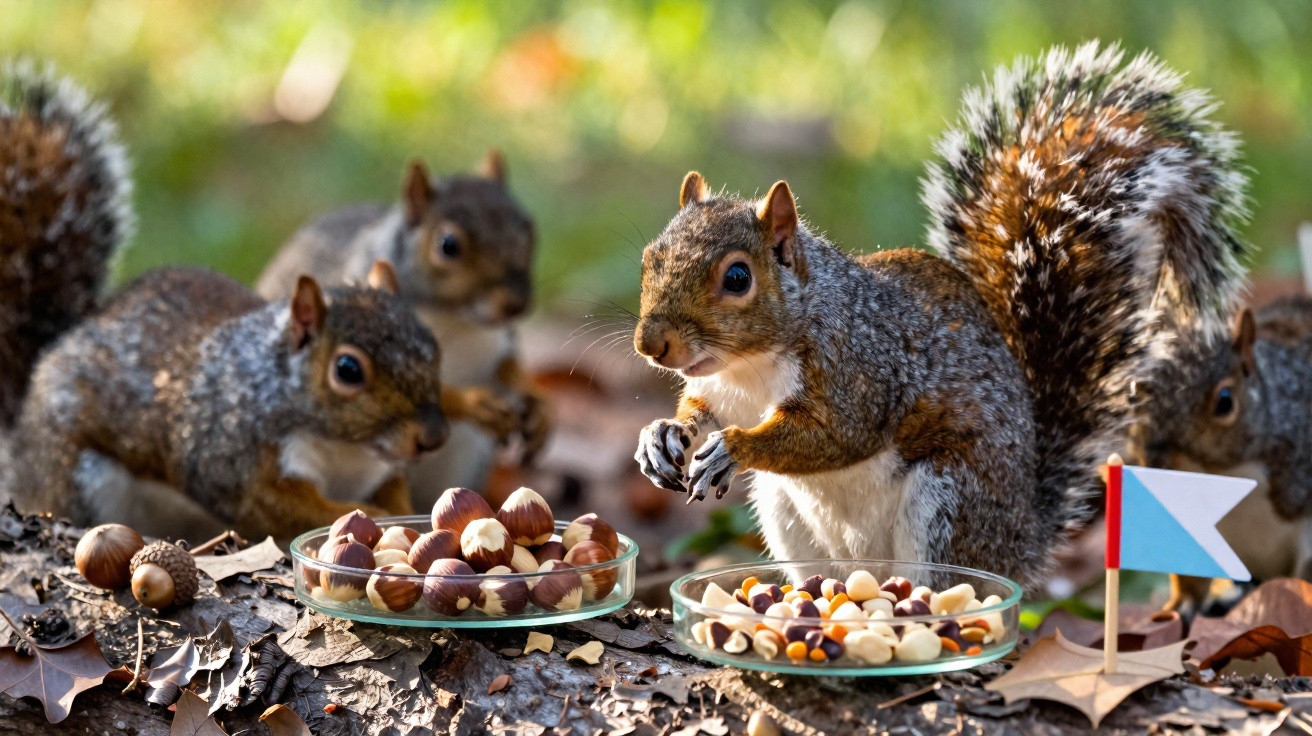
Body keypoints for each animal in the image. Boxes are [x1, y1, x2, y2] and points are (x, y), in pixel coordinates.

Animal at [0, 63, 450, 542]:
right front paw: (366, 516)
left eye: (433, 346)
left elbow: (395, 488)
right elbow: (284, 508)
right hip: (78, 476)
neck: (346, 451)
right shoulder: (231, 458)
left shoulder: (379, 469)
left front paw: (406, 511)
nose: (433, 438)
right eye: (347, 370)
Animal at [256, 153, 548, 509]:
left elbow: (509, 366)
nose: (516, 304)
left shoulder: (498, 340)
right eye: (448, 245)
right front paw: (474, 401)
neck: (458, 319)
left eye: (529, 231)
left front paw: (541, 404)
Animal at [632, 43, 1250, 590]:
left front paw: (732, 448)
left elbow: (837, 435)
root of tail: (1021, 543)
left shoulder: (859, 369)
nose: (650, 345)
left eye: (738, 278)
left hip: (947, 502)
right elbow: (699, 411)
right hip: (786, 509)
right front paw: (662, 435)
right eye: (649, 256)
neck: (750, 366)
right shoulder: (719, 389)